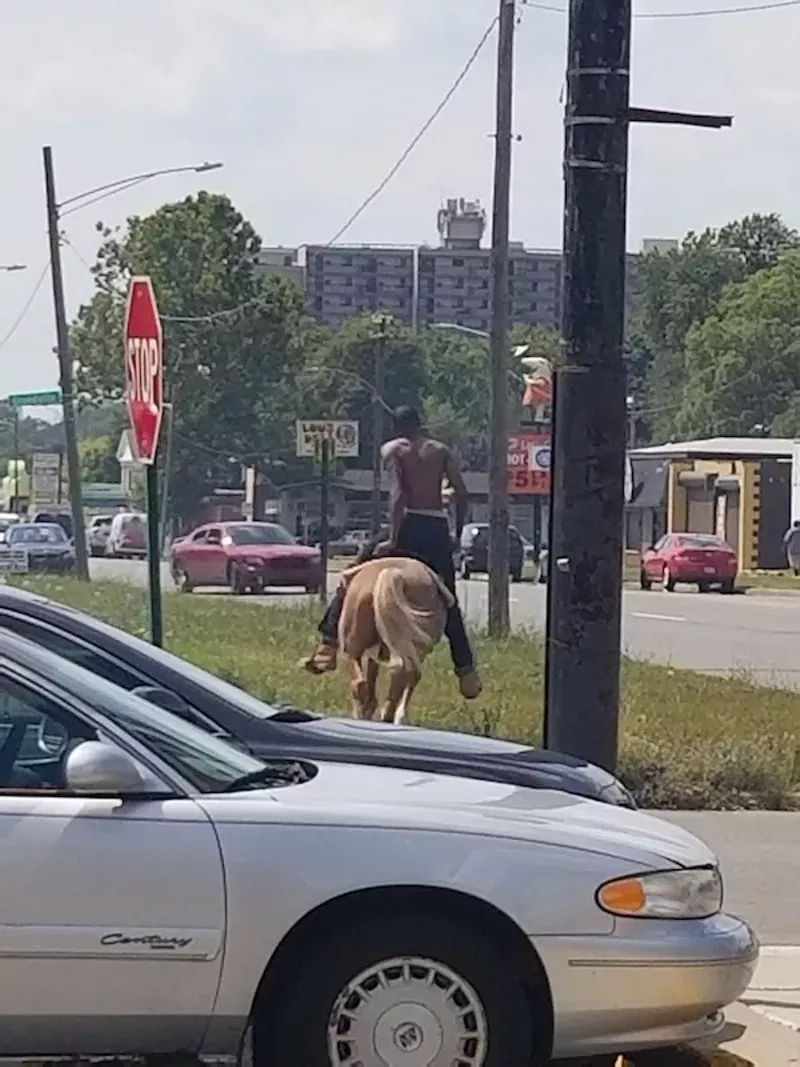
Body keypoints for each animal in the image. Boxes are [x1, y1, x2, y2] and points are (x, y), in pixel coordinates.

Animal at [334, 559, 454, 725]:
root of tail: (393, 574)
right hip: (412, 647)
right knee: (405, 673)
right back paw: (389, 715)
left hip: (352, 649)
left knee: (361, 684)